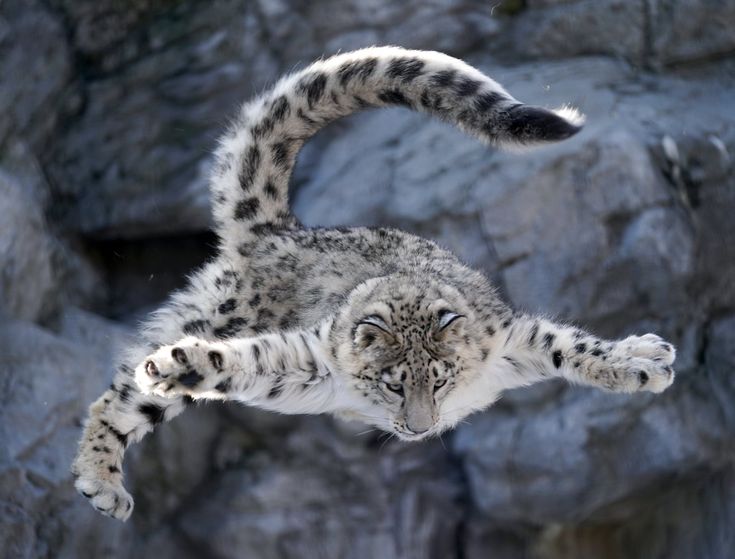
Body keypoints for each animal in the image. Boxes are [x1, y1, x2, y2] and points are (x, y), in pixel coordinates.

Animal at [72, 46, 676, 521]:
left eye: (440, 380)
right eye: (391, 384)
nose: (419, 429)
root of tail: (279, 231)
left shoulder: (510, 339)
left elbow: (569, 345)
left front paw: (643, 361)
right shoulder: (310, 353)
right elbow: (246, 360)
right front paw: (179, 364)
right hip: (222, 315)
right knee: (120, 394)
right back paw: (103, 479)